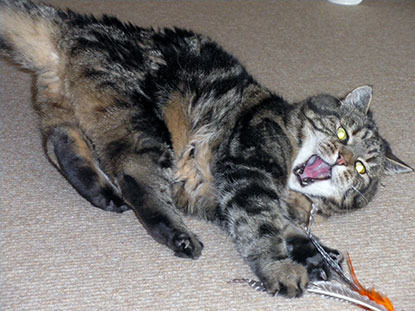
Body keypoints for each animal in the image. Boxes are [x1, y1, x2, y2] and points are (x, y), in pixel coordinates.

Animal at [0, 0, 412, 298]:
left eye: (361, 169)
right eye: (342, 134)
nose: (342, 159)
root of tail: (75, 26)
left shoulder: (220, 197)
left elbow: (289, 228)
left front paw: (320, 255)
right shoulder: (246, 174)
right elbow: (261, 228)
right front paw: (282, 270)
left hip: (69, 111)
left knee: (60, 144)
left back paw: (102, 193)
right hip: (144, 126)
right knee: (135, 179)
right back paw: (177, 236)